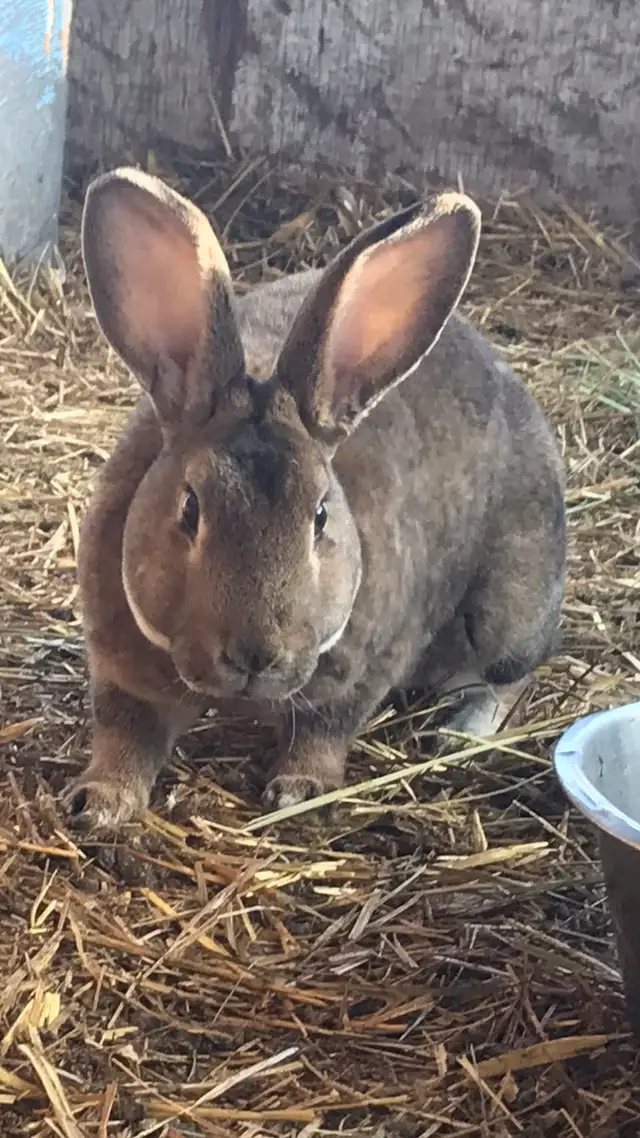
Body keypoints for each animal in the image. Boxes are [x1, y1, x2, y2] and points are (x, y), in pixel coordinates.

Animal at [62, 167, 566, 829]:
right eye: (190, 508)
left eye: (321, 515)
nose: (254, 655)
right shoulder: (122, 670)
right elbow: (127, 733)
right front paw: (96, 801)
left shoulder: (363, 673)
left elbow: (325, 732)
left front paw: (298, 790)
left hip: (508, 609)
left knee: (512, 674)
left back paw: (456, 734)